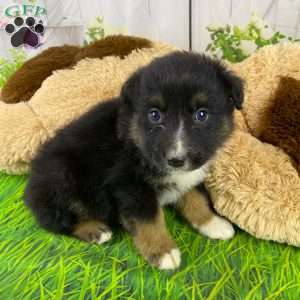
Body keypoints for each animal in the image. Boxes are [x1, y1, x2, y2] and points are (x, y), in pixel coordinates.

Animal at [23, 51, 244, 270]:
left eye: (201, 114)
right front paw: (162, 251)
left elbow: (196, 198)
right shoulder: (130, 185)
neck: (137, 143)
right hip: (61, 176)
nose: (176, 160)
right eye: (154, 115)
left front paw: (212, 223)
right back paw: (95, 230)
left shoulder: (187, 176)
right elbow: (150, 219)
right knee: (56, 220)